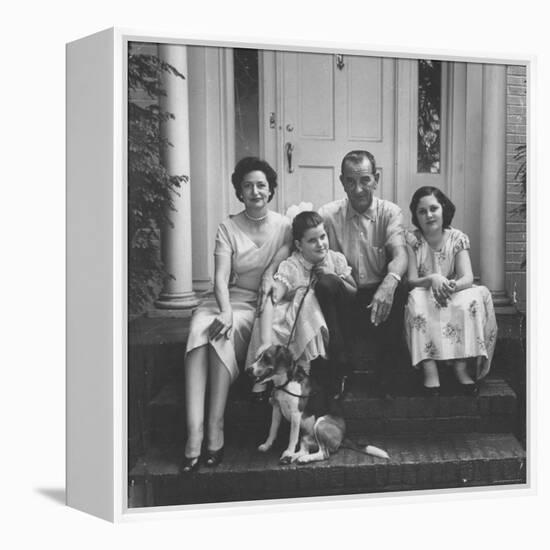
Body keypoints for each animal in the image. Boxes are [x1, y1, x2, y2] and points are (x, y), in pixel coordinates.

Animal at [246, 348, 392, 464]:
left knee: (324, 454)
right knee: (305, 450)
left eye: (266, 358)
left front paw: (288, 452)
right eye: (258, 357)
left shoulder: (295, 414)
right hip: (305, 435)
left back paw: (299, 458)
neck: (285, 383)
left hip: (320, 423)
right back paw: (294, 457)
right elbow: (272, 430)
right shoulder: (276, 408)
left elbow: (292, 437)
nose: (248, 370)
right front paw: (267, 445)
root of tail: (343, 437)